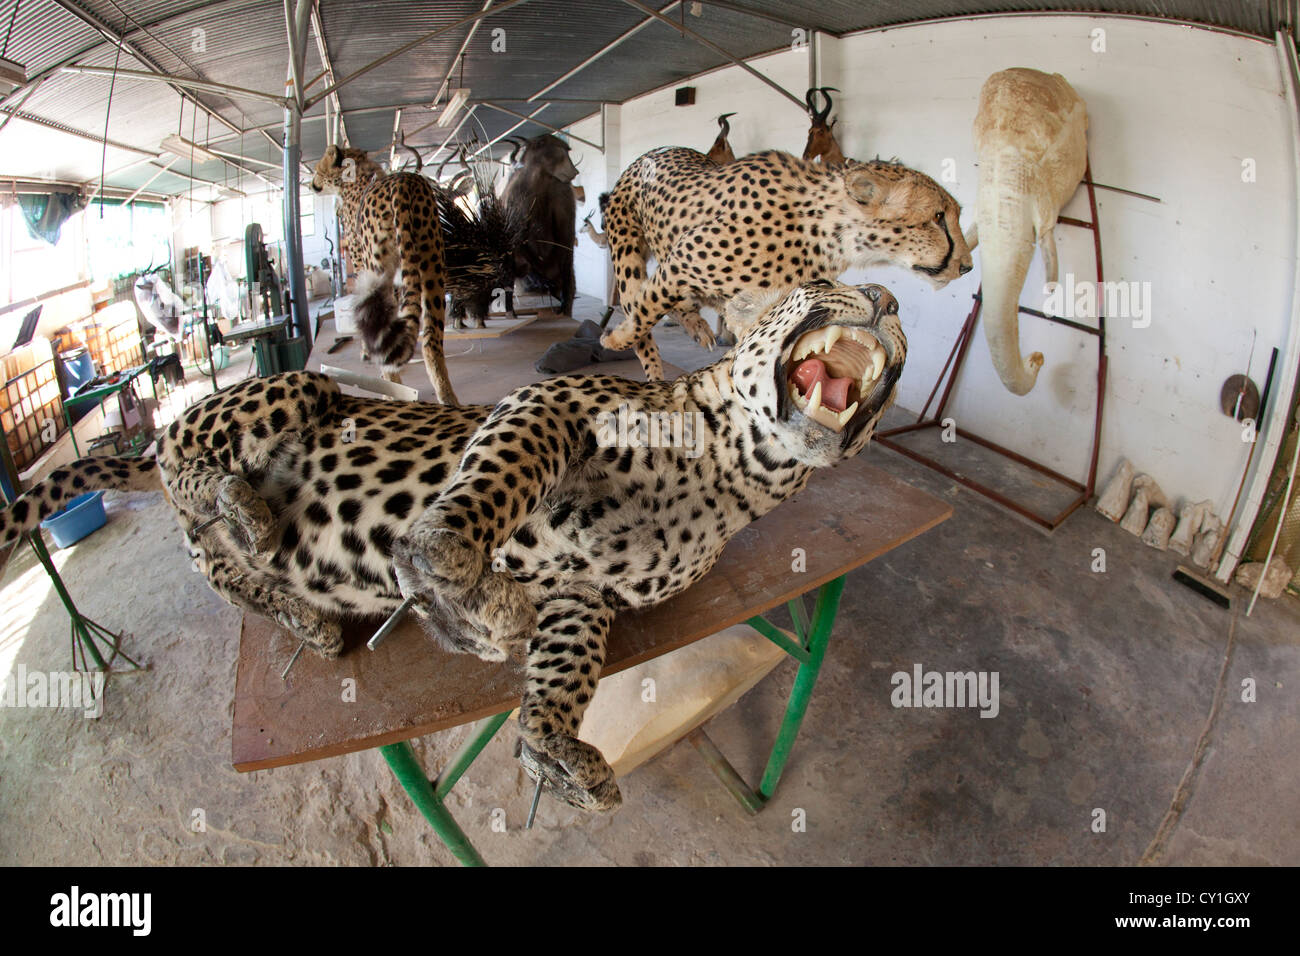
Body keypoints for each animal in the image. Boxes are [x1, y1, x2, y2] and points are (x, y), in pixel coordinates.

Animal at [0, 280, 909, 811]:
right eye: (827, 286)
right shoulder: (553, 404)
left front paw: (547, 740)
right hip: (289, 390)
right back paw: (244, 505)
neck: (738, 474)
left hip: (226, 532)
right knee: (182, 462)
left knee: (213, 560)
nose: (887, 296)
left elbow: (566, 666)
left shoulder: (586, 592)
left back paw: (302, 613)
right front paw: (447, 556)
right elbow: (499, 480)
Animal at [309, 146, 457, 403]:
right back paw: (447, 398)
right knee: (431, 341)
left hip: (378, 272)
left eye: (318, 169)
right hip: (433, 267)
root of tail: (403, 183)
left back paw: (390, 389)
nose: (311, 183)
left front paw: (366, 353)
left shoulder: (361, 268)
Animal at [598, 145, 967, 382]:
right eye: (938, 217)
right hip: (628, 249)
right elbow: (643, 312)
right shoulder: (679, 264)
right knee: (636, 302)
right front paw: (614, 340)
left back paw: (697, 326)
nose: (966, 266)